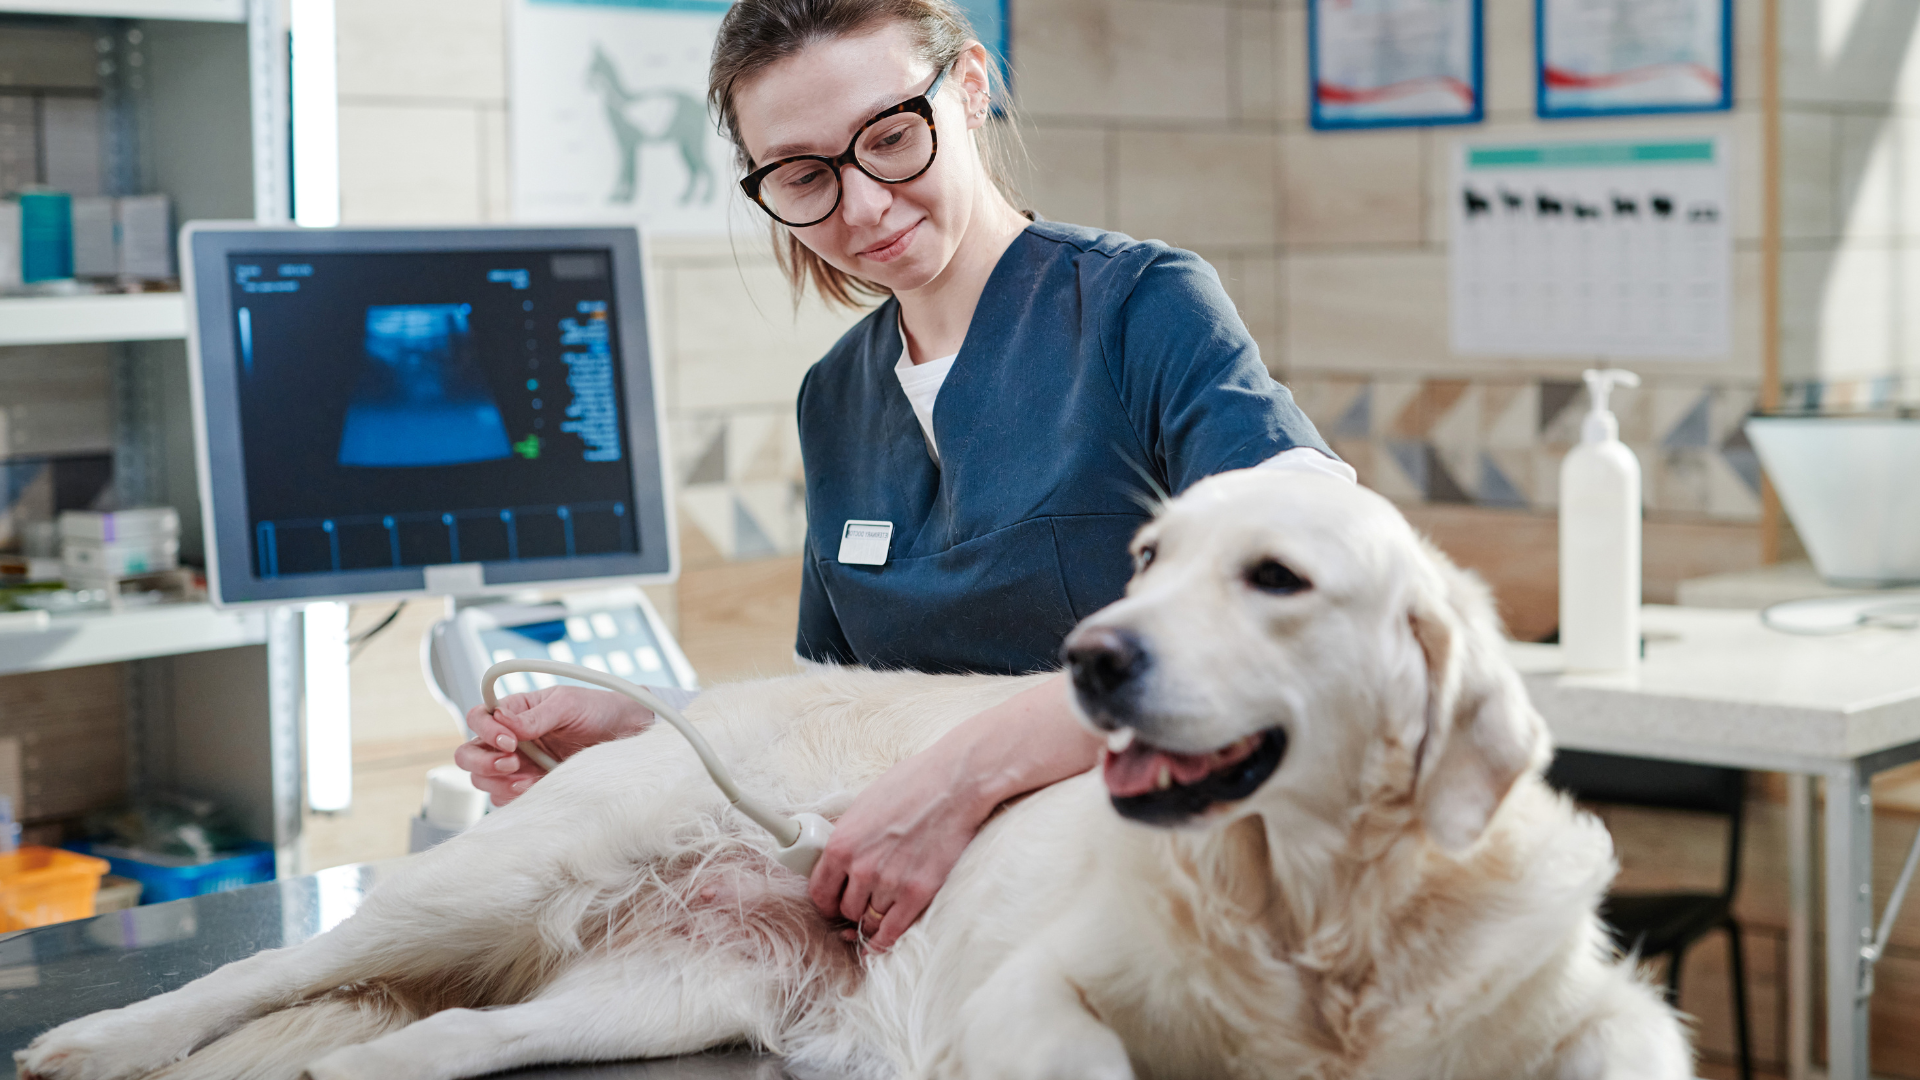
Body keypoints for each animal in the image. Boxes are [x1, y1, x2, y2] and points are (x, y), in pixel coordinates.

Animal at [22, 470, 1689, 1076]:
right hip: (518, 865)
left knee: (415, 1046)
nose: (1091, 657)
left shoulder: (1600, 1016)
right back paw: (95, 1040)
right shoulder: (1045, 999)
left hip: (658, 992)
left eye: (1275, 576)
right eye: (1149, 557)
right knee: (264, 975)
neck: (1323, 925)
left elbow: (1620, 1045)